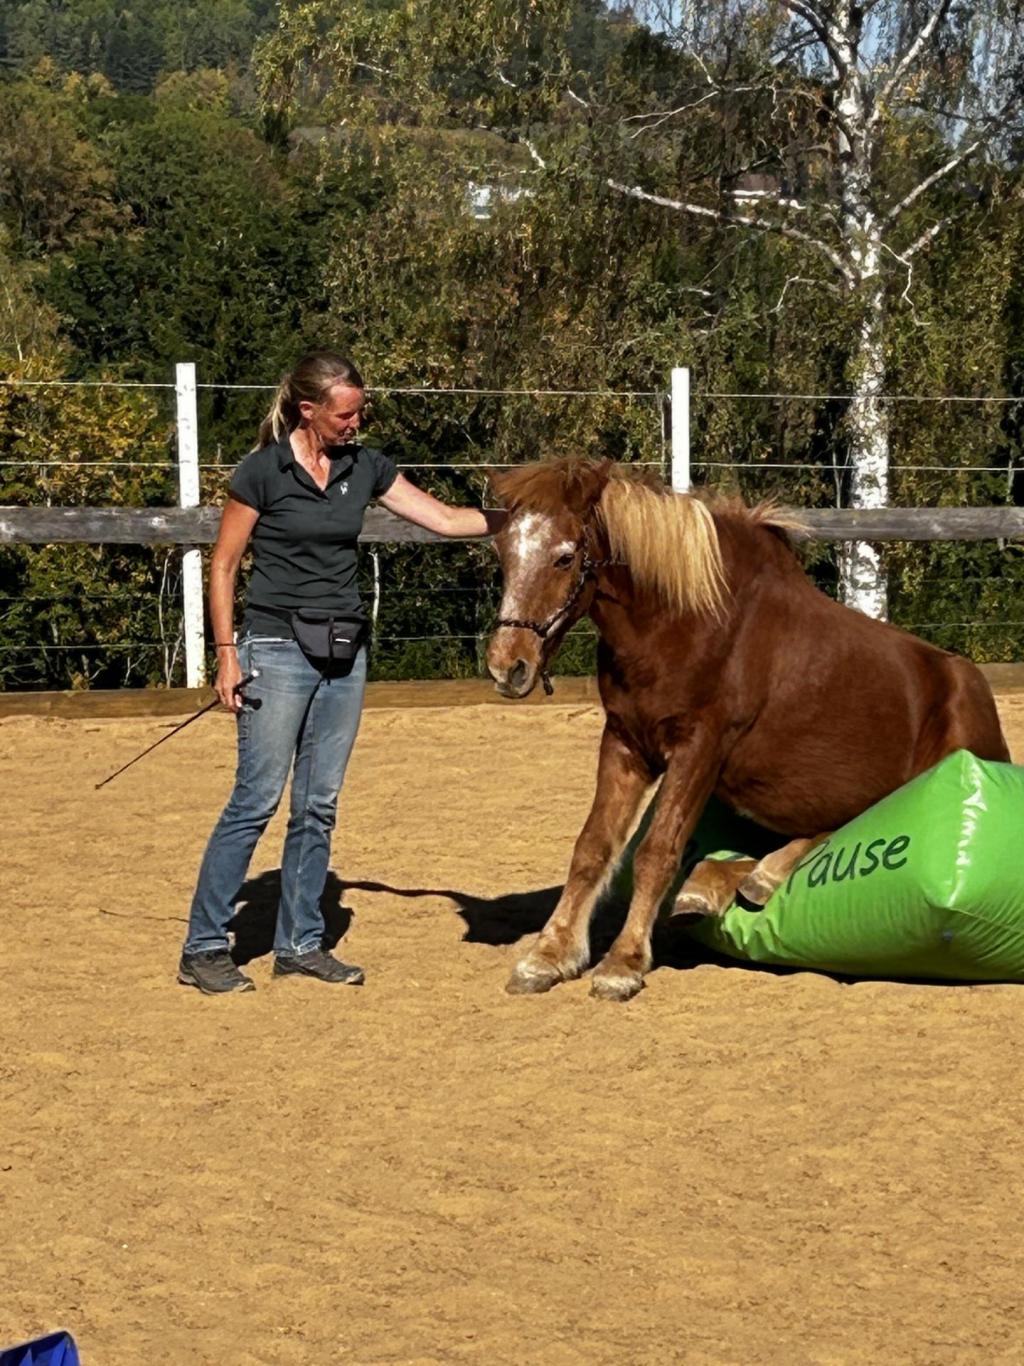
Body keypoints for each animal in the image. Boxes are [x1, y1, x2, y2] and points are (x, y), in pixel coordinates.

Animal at [485, 457, 1010, 1002]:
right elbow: (592, 847)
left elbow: (657, 851)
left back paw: (759, 876)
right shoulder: (625, 742)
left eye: (565, 558)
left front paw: (622, 964)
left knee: (847, 825)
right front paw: (549, 957)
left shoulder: (700, 748)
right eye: (502, 551)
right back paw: (710, 885)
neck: (685, 625)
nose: (508, 667)